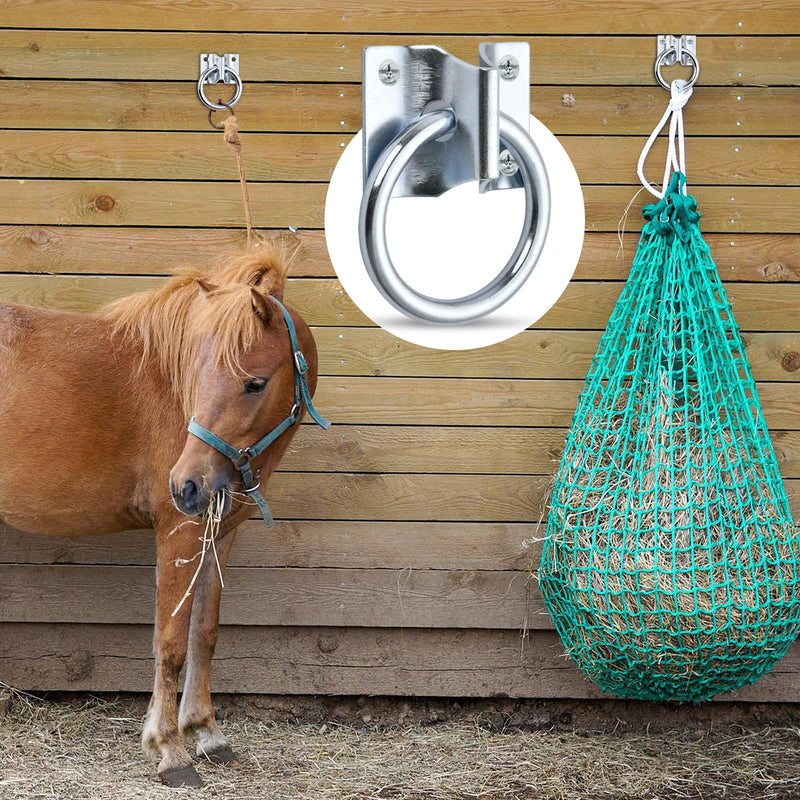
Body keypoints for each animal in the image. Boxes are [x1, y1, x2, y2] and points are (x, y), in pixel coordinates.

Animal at [0, 243, 328, 787]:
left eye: (254, 383)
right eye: (199, 373)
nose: (186, 485)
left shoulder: (219, 534)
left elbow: (203, 634)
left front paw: (207, 734)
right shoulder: (180, 531)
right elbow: (170, 642)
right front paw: (171, 750)